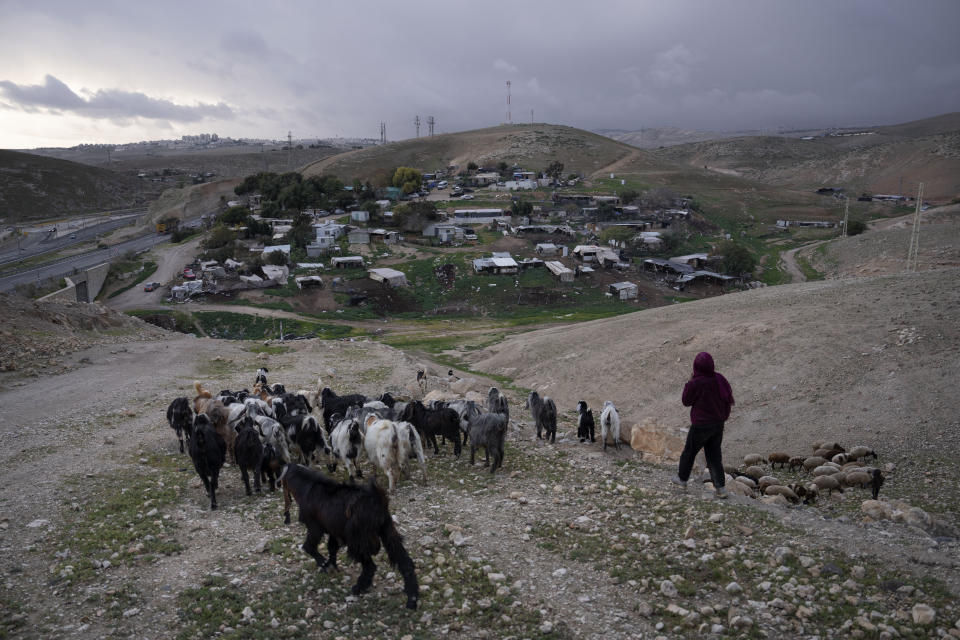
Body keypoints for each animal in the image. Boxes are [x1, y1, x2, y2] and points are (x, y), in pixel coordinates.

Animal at [284, 460, 422, 608]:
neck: (307, 485)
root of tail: (377, 501)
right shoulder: (333, 531)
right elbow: (331, 549)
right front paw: (331, 565)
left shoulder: (315, 528)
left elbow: (309, 547)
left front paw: (323, 564)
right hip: (387, 532)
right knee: (405, 563)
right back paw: (412, 599)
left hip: (357, 540)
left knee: (370, 566)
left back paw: (358, 588)